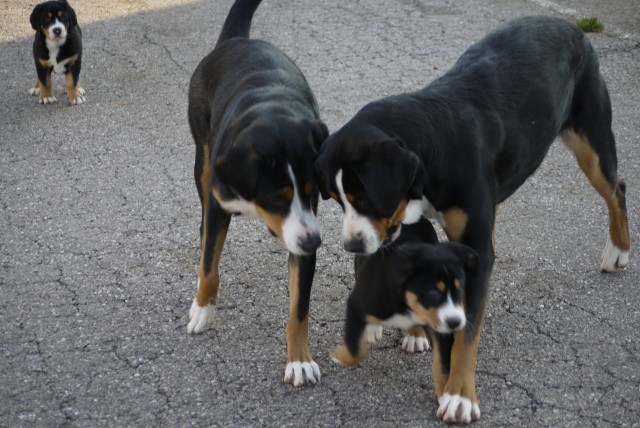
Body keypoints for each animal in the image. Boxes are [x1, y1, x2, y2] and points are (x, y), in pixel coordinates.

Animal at [184, 0, 324, 388]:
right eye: (277, 197)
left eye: (312, 191)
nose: (314, 241)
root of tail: (236, 40)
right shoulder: (218, 206)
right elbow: (210, 264)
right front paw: (203, 309)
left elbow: (299, 308)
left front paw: (299, 360)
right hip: (201, 161)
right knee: (204, 231)